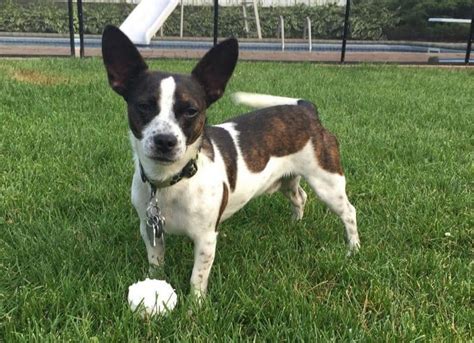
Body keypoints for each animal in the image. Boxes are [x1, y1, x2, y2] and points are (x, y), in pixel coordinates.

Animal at [101, 25, 360, 300]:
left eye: (191, 111)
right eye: (143, 106)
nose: (164, 140)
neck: (172, 180)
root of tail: (307, 110)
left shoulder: (206, 239)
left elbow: (197, 277)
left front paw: (196, 305)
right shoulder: (150, 230)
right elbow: (156, 261)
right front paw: (155, 282)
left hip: (327, 183)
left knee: (349, 212)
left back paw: (353, 249)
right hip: (287, 181)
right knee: (300, 197)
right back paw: (295, 223)